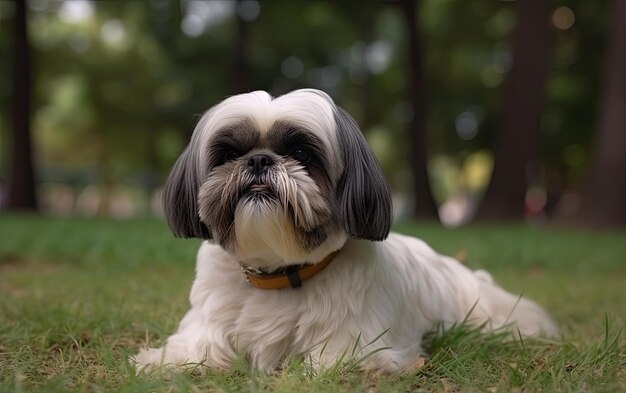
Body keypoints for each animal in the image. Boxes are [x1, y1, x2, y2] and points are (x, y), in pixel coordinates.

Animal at [133, 88, 556, 370]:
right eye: (231, 154)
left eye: (301, 153)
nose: (258, 160)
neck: (281, 272)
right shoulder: (208, 323)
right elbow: (197, 348)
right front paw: (162, 361)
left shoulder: (358, 346)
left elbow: (330, 365)